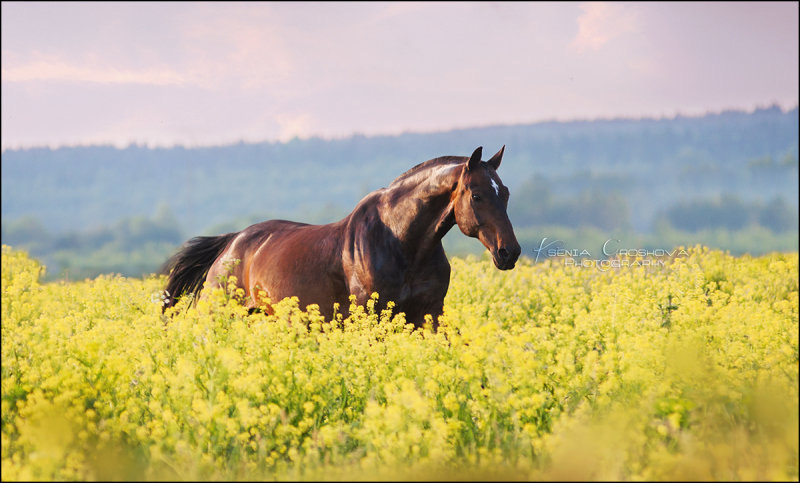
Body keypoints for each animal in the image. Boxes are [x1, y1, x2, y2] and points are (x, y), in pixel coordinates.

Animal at [164, 146, 524, 330]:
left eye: (506, 193)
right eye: (477, 195)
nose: (509, 253)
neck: (403, 244)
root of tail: (232, 243)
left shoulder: (430, 313)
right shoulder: (370, 314)